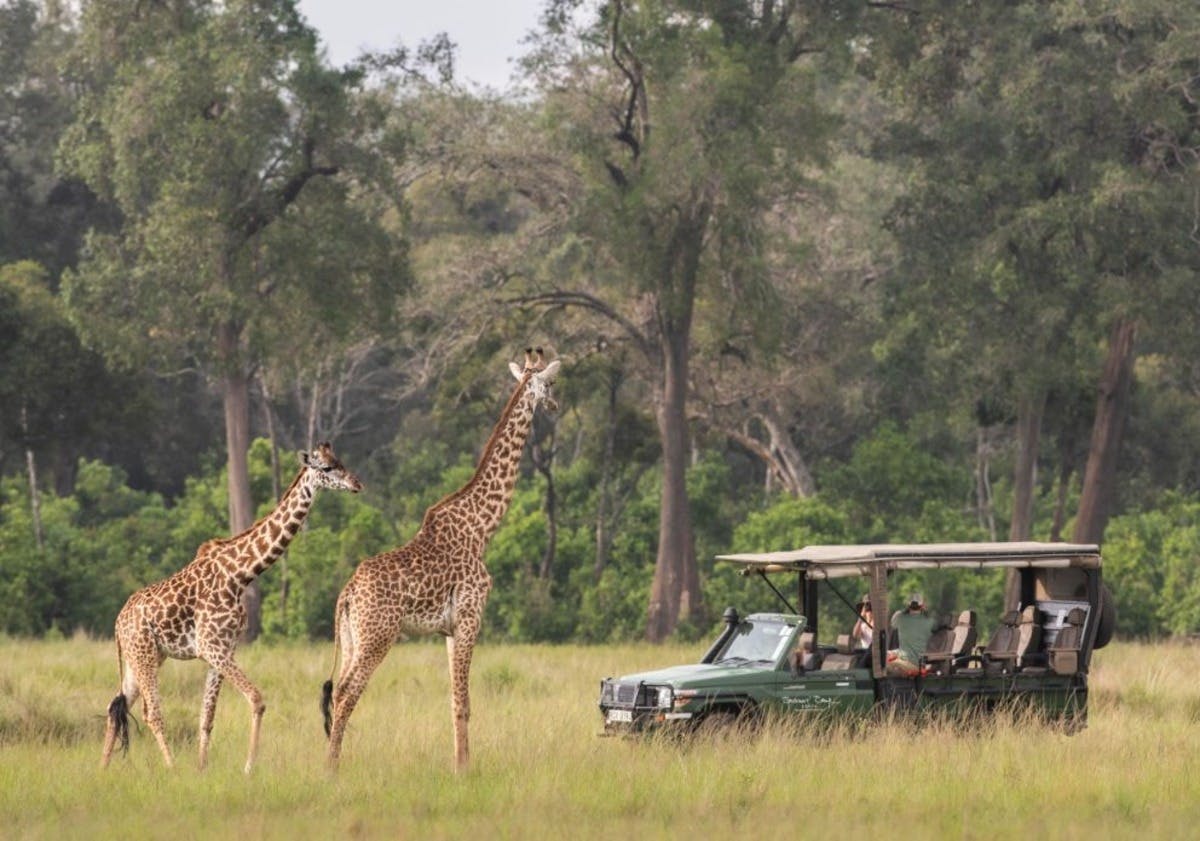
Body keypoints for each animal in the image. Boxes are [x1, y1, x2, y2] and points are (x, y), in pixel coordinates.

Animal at [99, 443, 360, 772]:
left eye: (340, 461)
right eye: (326, 468)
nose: (356, 484)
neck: (241, 575)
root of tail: (118, 622)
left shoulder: (223, 650)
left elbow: (207, 717)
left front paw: (202, 769)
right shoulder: (212, 647)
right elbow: (257, 699)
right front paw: (248, 768)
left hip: (144, 657)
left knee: (115, 706)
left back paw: (102, 770)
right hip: (143, 654)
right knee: (151, 713)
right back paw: (171, 767)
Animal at [321, 345, 559, 772]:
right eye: (549, 384)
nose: (556, 405)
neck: (482, 527)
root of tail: (347, 595)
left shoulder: (449, 629)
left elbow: (453, 701)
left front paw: (458, 763)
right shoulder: (470, 618)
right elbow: (464, 702)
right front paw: (464, 769)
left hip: (350, 639)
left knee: (335, 693)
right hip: (378, 637)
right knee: (347, 693)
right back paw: (331, 771)